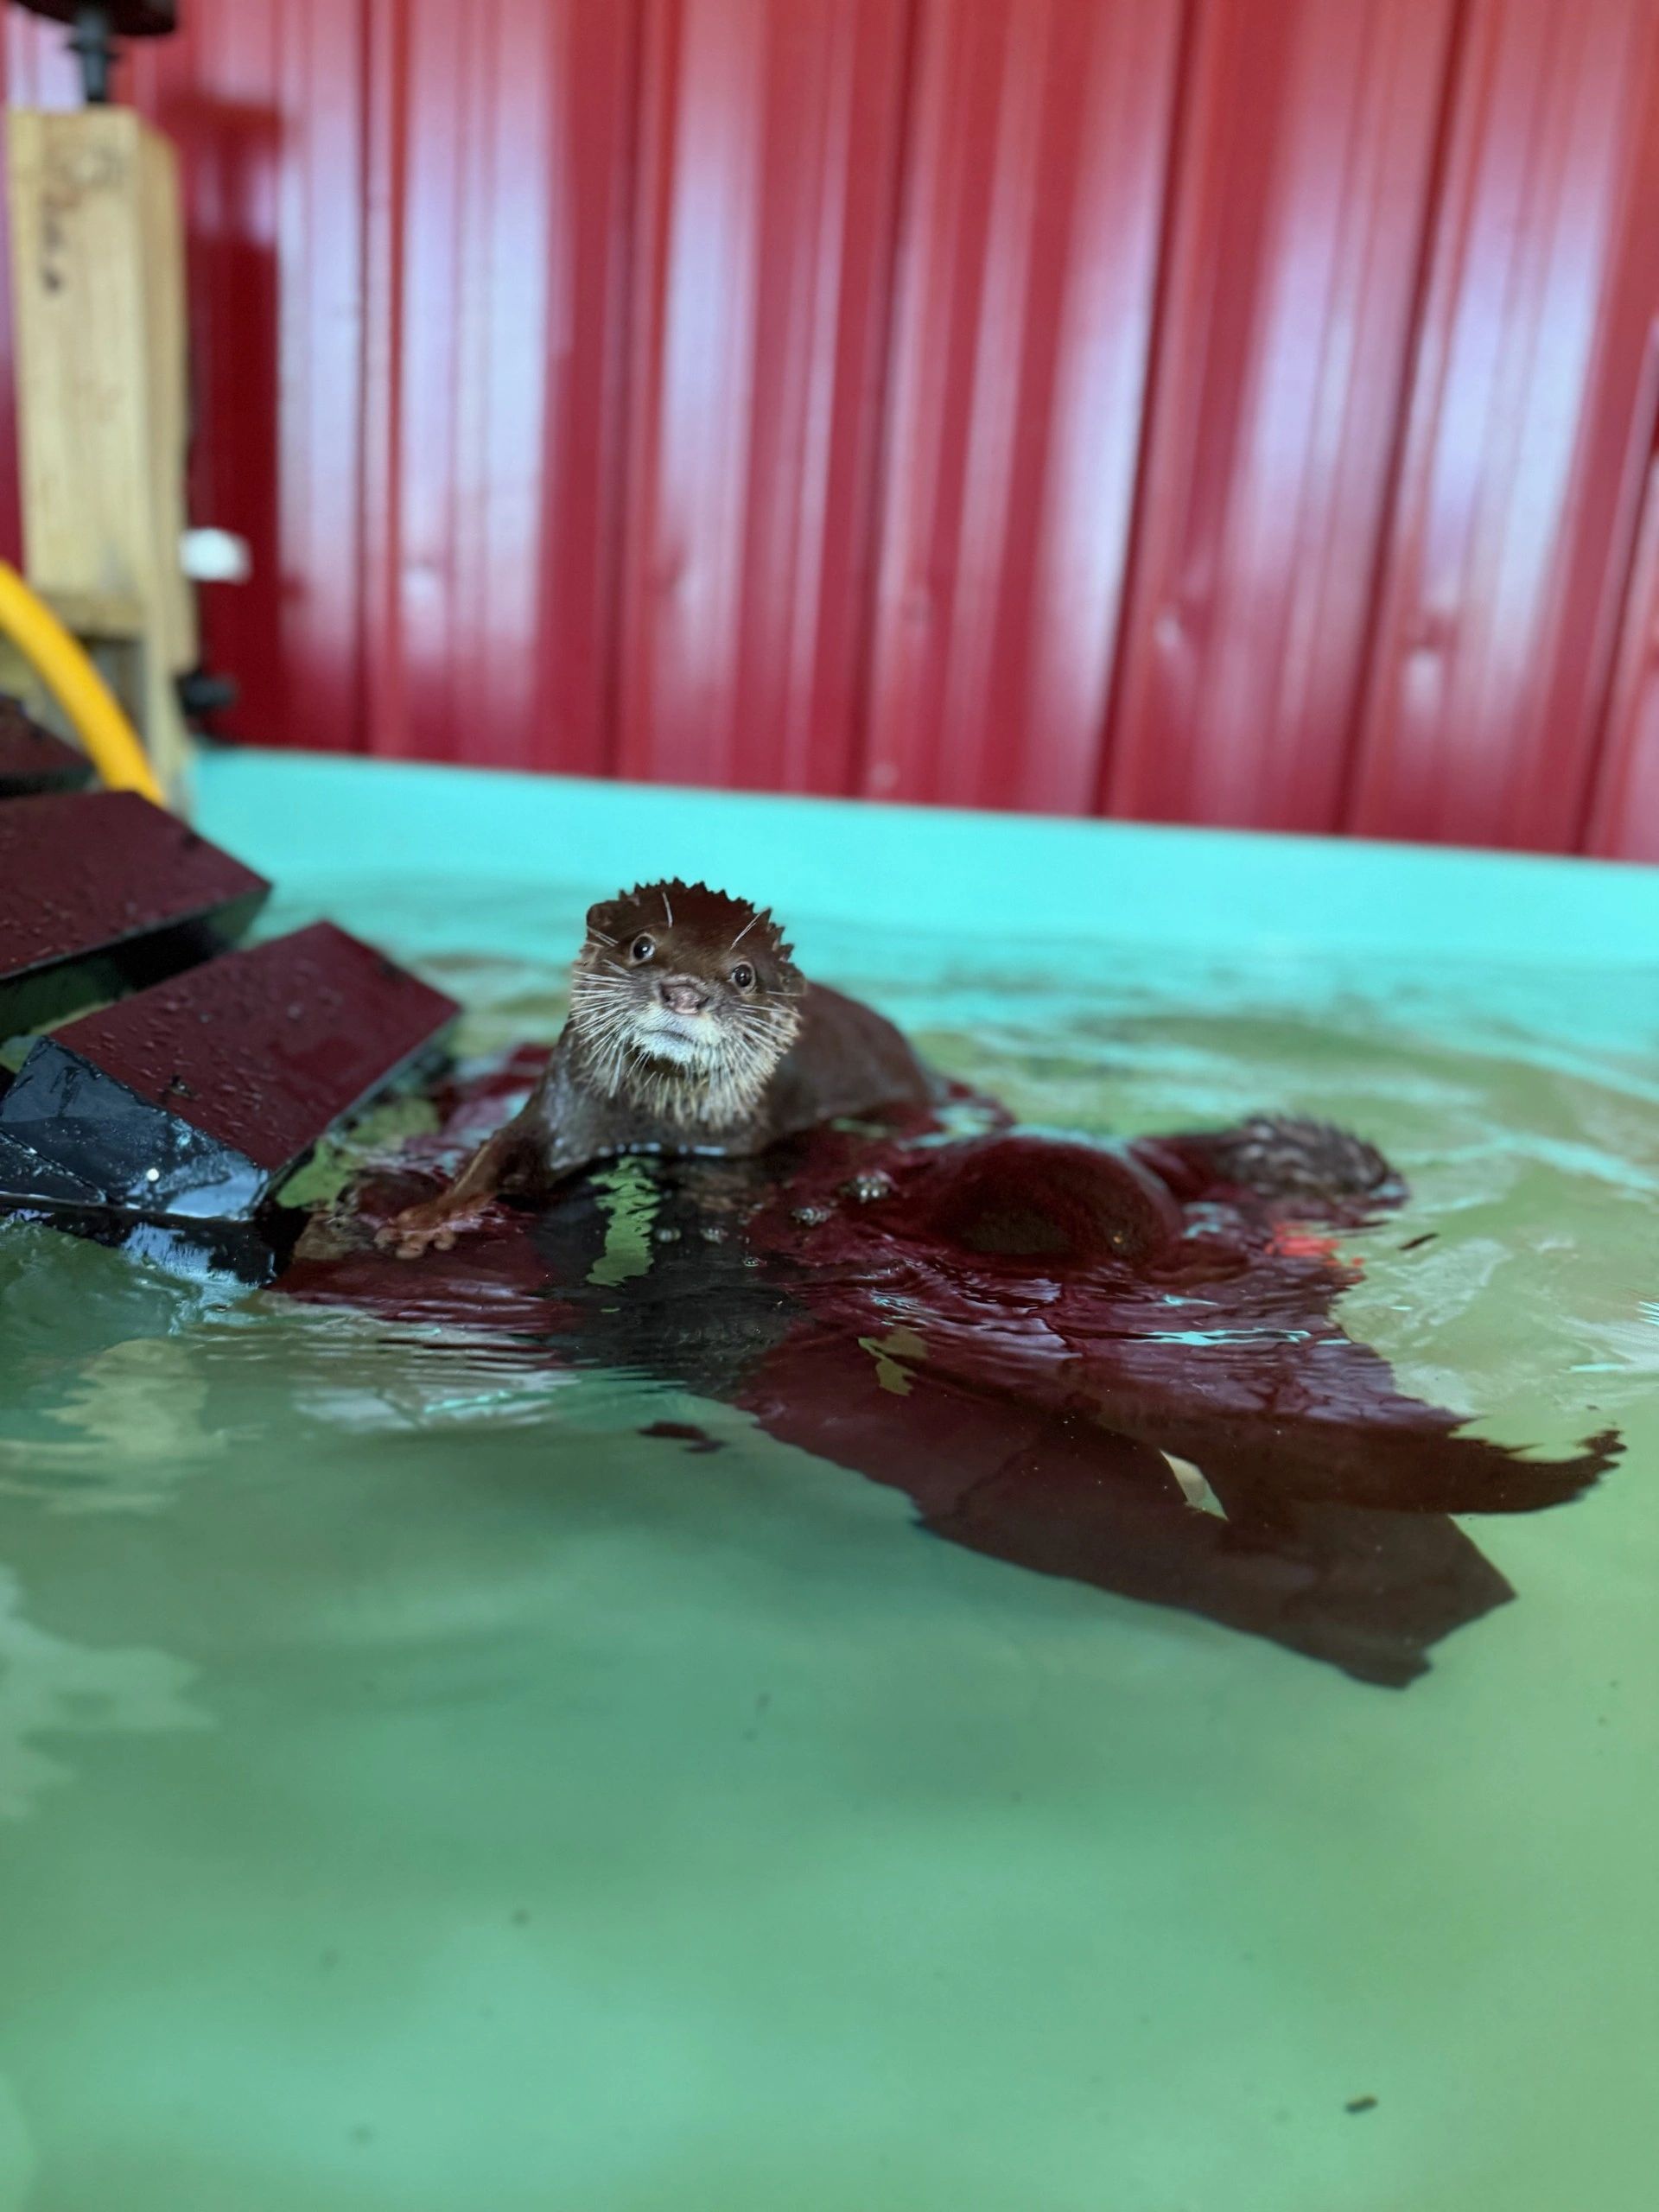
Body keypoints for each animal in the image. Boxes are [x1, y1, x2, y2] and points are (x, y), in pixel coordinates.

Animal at [381, 879, 934, 1256]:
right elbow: (499, 1151)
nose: (685, 992)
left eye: (744, 975)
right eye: (642, 945)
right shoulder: (563, 1109)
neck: (649, 1123)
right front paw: (432, 1219)